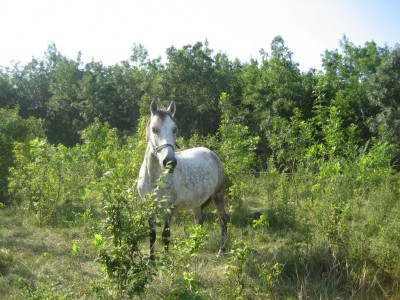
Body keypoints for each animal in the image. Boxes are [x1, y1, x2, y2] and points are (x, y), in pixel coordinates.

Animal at [136, 99, 227, 258]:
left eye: (175, 129)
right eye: (154, 129)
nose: (169, 162)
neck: (154, 179)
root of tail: (211, 153)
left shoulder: (169, 208)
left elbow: (165, 236)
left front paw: (165, 260)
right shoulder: (149, 207)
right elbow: (152, 236)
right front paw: (151, 260)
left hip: (218, 196)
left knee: (222, 220)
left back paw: (221, 250)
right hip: (196, 201)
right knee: (199, 220)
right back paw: (193, 249)